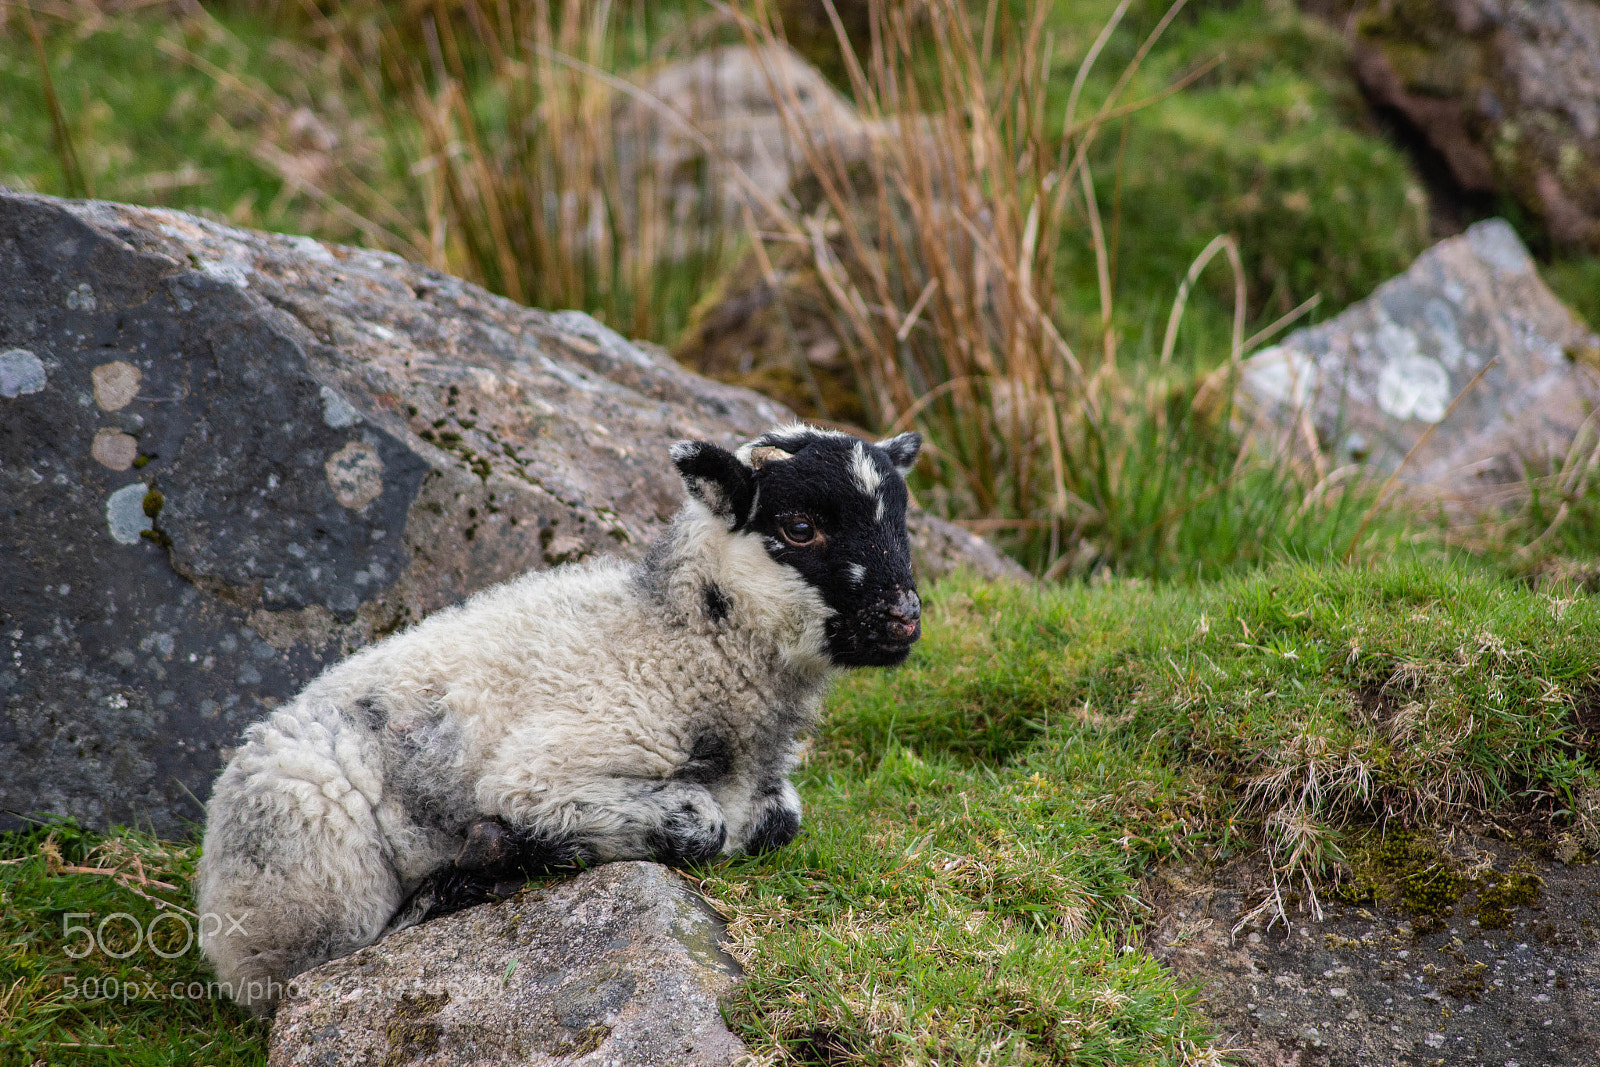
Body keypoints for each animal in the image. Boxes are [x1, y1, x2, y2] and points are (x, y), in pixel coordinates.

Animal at [195, 423, 924, 1014]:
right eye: (800, 527)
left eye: (900, 523)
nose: (904, 617)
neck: (679, 641)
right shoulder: (543, 770)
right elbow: (702, 825)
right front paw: (517, 843)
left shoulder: (769, 789)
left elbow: (780, 821)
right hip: (307, 871)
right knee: (319, 965)